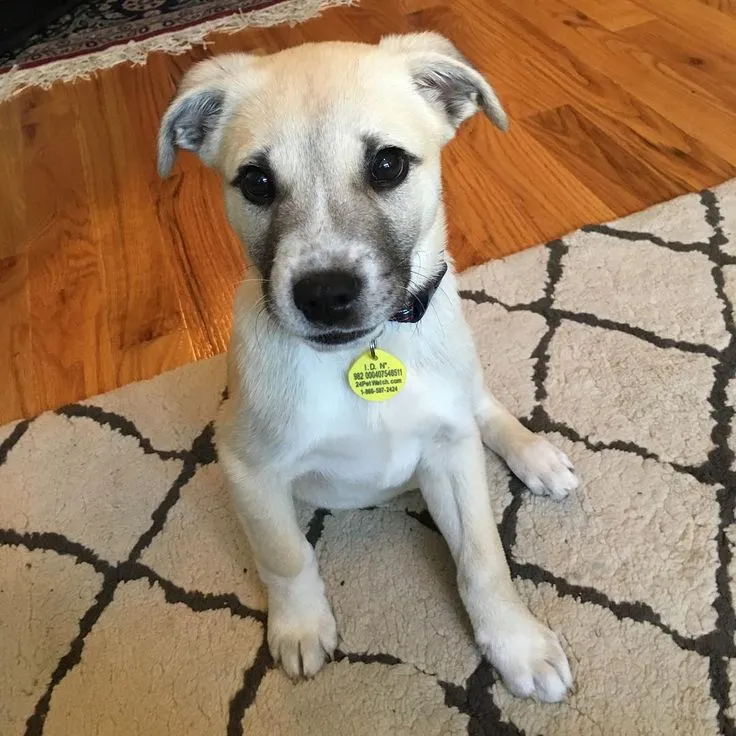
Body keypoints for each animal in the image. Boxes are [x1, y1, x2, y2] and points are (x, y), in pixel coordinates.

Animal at [158, 34, 576, 700]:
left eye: (387, 165)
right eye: (256, 181)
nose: (325, 294)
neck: (361, 354)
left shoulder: (451, 453)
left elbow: (483, 557)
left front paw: (516, 642)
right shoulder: (248, 468)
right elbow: (286, 555)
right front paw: (301, 626)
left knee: (484, 405)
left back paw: (535, 455)